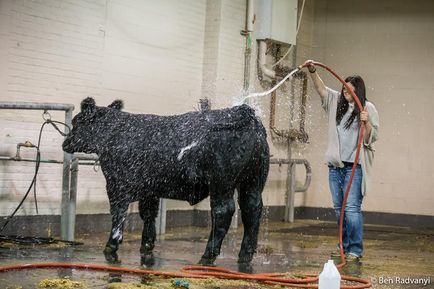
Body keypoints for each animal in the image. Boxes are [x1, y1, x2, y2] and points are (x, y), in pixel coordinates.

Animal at [62, 97, 270, 268]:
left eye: (77, 121)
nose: (65, 143)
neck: (115, 133)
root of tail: (243, 111)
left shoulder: (116, 184)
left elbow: (118, 214)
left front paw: (111, 245)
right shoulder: (149, 189)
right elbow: (148, 214)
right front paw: (147, 244)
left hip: (221, 182)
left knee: (223, 212)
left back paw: (207, 256)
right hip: (253, 181)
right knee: (252, 210)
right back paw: (245, 255)